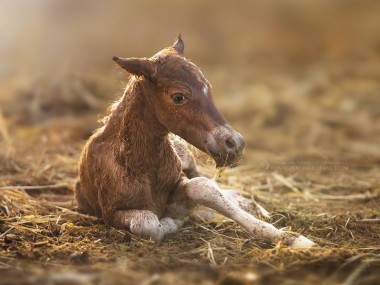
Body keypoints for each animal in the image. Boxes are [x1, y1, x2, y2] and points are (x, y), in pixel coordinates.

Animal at [75, 36, 314, 246]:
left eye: (209, 88)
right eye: (178, 97)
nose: (235, 144)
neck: (137, 164)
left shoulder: (183, 180)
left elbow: (202, 188)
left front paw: (288, 237)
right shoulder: (110, 212)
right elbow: (149, 223)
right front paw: (174, 219)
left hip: (189, 161)